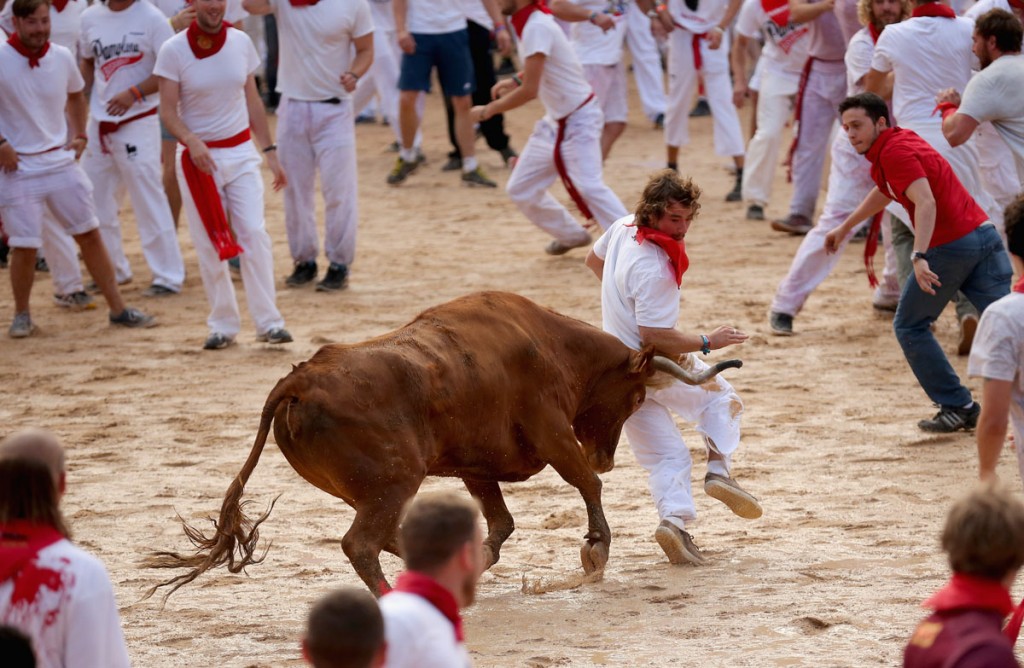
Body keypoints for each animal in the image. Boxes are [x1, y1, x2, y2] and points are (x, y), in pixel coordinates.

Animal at [148, 293, 741, 594]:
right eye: (637, 395)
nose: (608, 454)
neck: (546, 341)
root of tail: (299, 380)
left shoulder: (476, 468)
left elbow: (502, 524)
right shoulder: (552, 432)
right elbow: (586, 483)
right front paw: (596, 550)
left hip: (375, 489)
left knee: (384, 538)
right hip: (393, 481)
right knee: (360, 545)